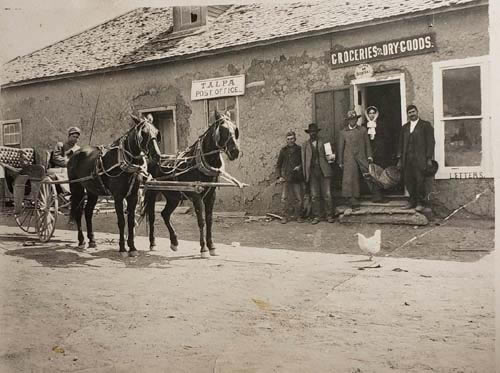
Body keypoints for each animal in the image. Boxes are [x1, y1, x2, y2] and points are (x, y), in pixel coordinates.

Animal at [67, 115, 161, 256]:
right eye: (143, 133)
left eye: (156, 132)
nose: (157, 155)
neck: (125, 161)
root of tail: (75, 153)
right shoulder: (118, 196)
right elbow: (121, 222)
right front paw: (122, 248)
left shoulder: (133, 195)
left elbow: (131, 221)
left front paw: (132, 248)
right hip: (76, 187)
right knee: (78, 211)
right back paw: (81, 241)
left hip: (92, 191)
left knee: (88, 212)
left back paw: (92, 240)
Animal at [143, 109, 240, 258]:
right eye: (223, 129)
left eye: (235, 128)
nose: (235, 151)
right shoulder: (196, 196)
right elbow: (201, 221)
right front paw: (203, 249)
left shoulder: (211, 196)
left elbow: (209, 220)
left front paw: (212, 246)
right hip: (152, 192)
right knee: (152, 217)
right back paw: (153, 243)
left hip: (173, 197)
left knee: (165, 214)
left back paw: (174, 242)